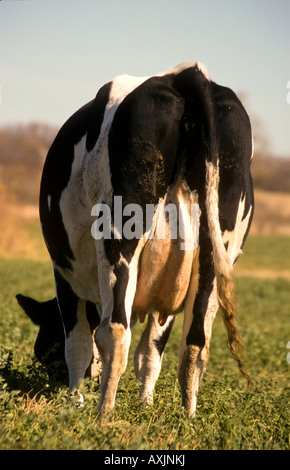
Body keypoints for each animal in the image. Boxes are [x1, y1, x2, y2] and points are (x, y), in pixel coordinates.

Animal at [19, 61, 254, 414]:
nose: (55, 382)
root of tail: (184, 74)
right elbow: (151, 351)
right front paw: (146, 407)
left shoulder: (65, 276)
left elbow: (78, 344)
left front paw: (74, 403)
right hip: (217, 249)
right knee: (196, 341)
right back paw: (188, 418)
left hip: (119, 236)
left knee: (114, 331)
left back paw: (103, 415)